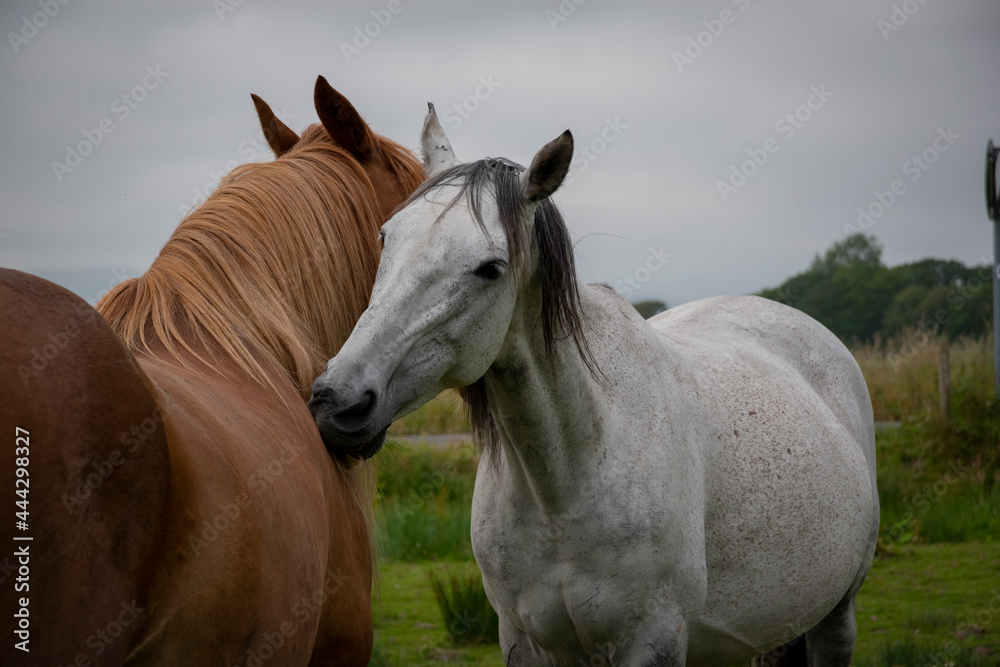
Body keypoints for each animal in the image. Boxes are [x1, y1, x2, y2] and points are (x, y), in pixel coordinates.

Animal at [310, 107, 876, 664]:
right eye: (386, 237)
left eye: (490, 268)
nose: (338, 401)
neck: (560, 484)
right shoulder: (524, 640)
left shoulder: (653, 640)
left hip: (836, 617)